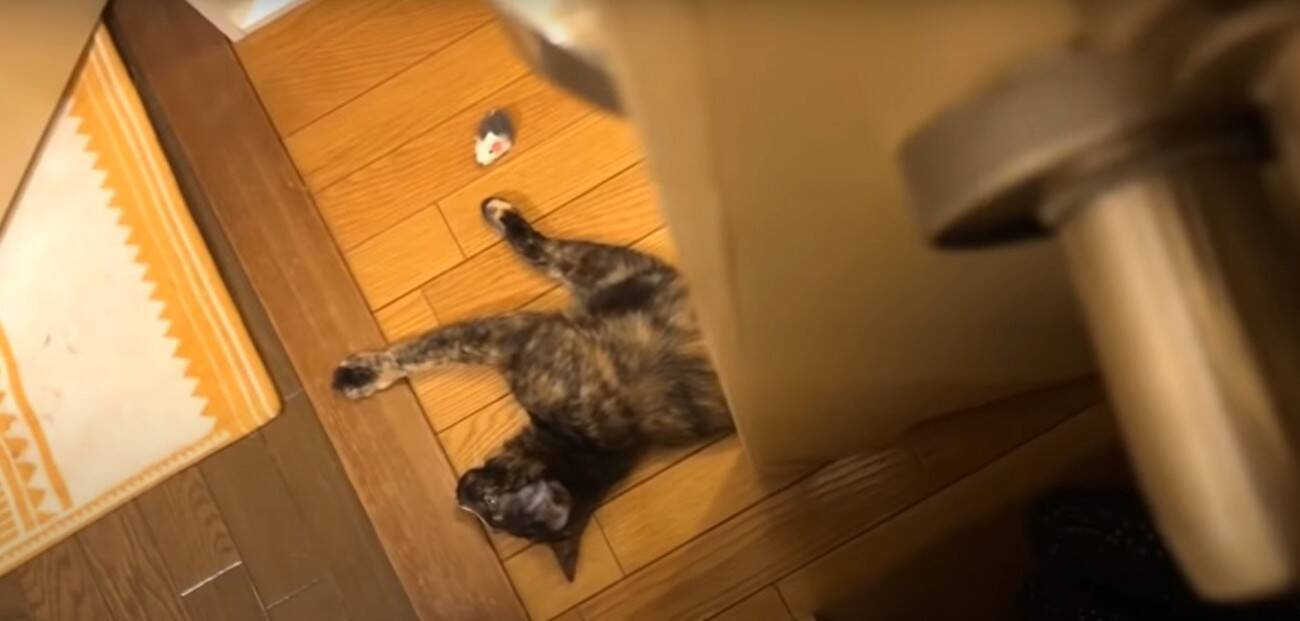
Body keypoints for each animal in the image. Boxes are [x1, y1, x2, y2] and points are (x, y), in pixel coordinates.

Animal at [331, 197, 733, 580]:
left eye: (493, 513)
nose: (459, 496)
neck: (578, 443)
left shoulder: (516, 334)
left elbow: (430, 350)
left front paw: (360, 376)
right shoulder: (599, 276)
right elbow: (426, 350)